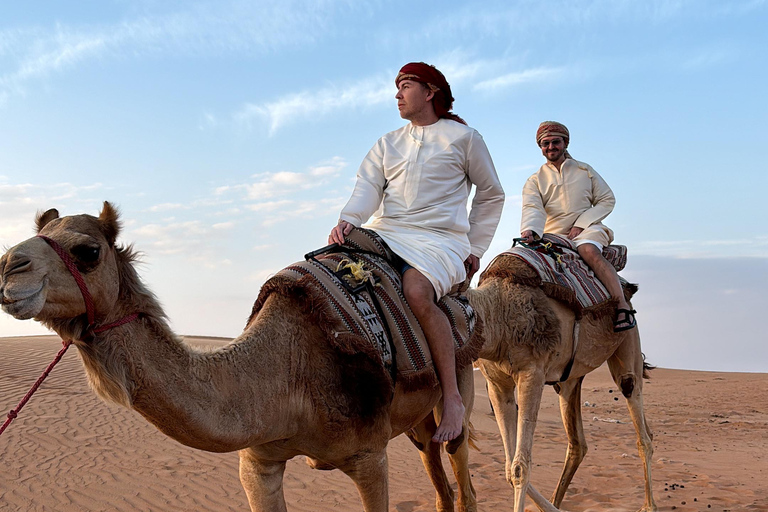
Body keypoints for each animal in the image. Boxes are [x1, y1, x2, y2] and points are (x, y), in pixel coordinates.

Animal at [1, 203, 480, 512]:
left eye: (88, 251)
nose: (8, 267)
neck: (289, 377)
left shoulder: (369, 458)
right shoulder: (257, 461)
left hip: (459, 379)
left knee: (461, 474)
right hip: (417, 420)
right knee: (434, 467)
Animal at [468, 254, 660, 510]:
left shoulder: (532, 373)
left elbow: (520, 467)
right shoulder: (497, 384)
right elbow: (509, 469)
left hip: (629, 338)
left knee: (638, 415)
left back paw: (649, 505)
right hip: (569, 379)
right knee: (578, 442)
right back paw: (555, 501)